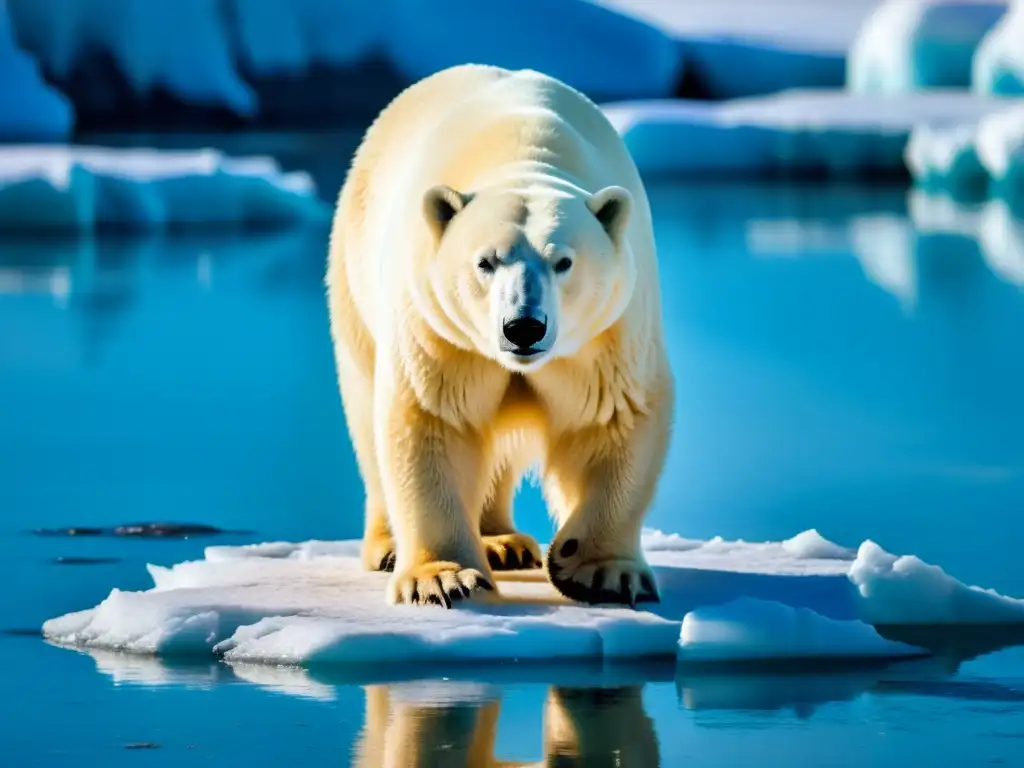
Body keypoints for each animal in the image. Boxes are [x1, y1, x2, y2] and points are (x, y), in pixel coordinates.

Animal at [327, 63, 675, 610]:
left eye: (563, 261)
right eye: (485, 262)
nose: (523, 327)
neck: (522, 157)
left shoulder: (607, 336)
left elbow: (614, 417)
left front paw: (599, 569)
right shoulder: (440, 331)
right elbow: (434, 417)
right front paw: (442, 578)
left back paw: (505, 542)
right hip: (353, 279)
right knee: (367, 415)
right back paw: (391, 547)